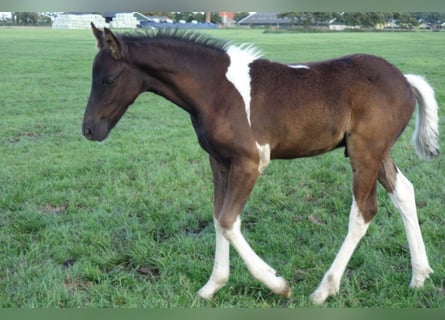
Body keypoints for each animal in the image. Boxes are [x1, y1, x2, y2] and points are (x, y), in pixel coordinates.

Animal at [82, 23, 438, 304]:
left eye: (109, 79)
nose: (89, 130)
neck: (216, 90)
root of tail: (404, 79)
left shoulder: (249, 162)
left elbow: (228, 220)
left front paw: (277, 284)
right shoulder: (219, 161)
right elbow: (218, 216)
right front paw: (212, 286)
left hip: (366, 152)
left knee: (364, 211)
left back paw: (324, 289)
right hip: (377, 152)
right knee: (404, 192)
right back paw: (420, 276)